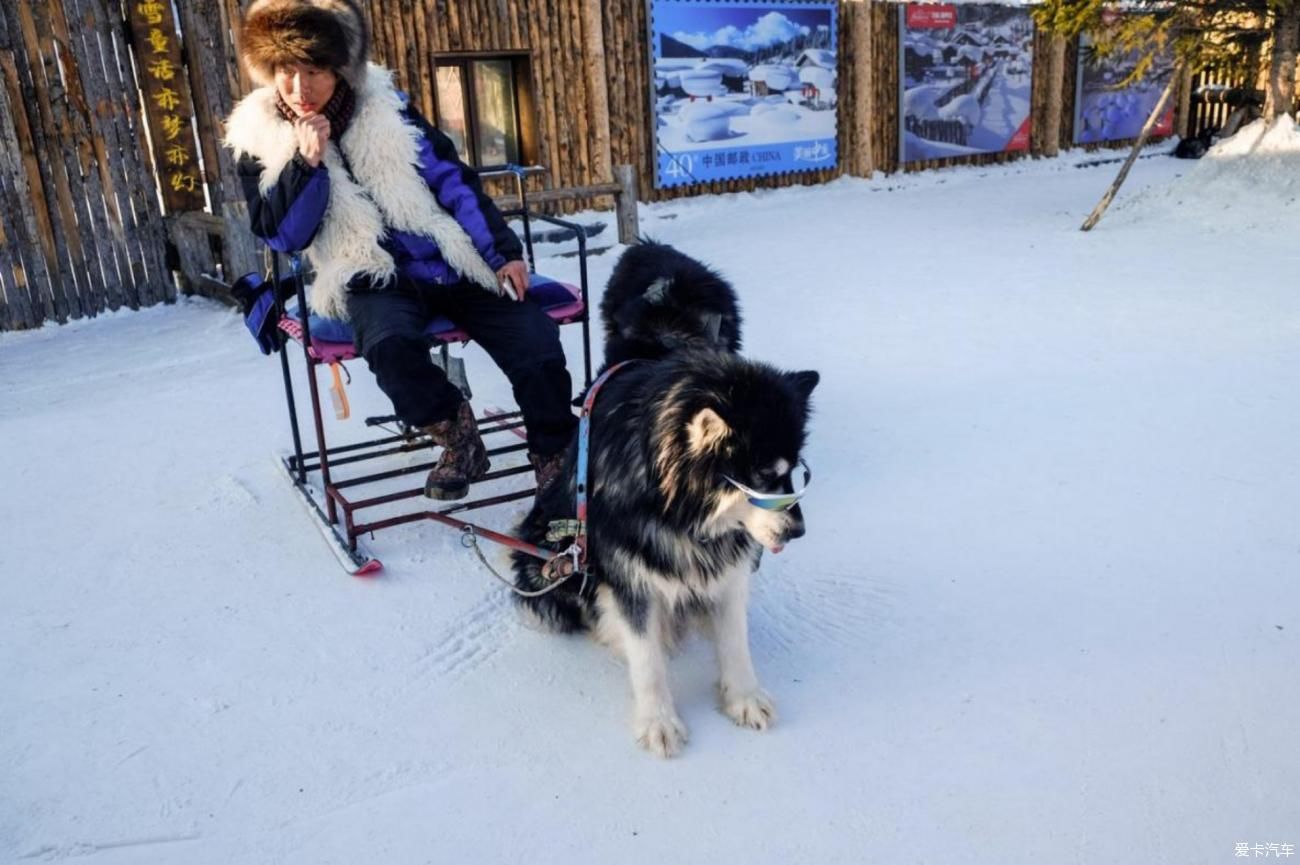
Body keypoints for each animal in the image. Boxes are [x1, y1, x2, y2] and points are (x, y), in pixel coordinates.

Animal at [512, 351, 816, 754]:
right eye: (765, 477)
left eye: (796, 473)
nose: (798, 531)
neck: (678, 515)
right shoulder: (630, 576)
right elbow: (647, 659)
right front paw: (658, 720)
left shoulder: (729, 568)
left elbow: (735, 640)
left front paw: (744, 697)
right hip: (551, 561)